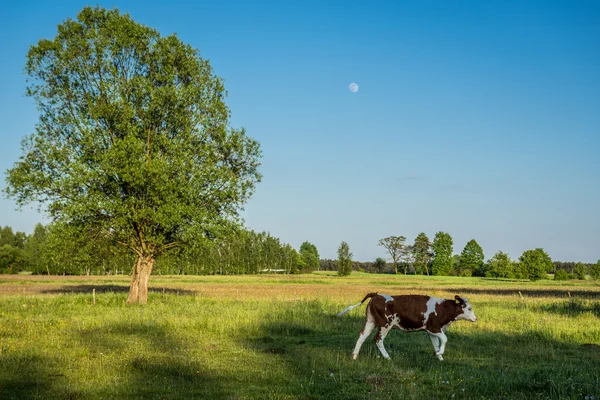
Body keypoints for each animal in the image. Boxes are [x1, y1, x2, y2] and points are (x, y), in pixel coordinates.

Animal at [338, 292, 478, 360]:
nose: (476, 318)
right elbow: (444, 339)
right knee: (378, 339)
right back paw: (388, 358)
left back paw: (354, 356)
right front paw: (439, 354)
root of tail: (376, 295)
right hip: (385, 324)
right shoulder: (433, 327)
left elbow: (436, 343)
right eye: (469, 308)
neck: (443, 309)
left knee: (362, 336)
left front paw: (439, 357)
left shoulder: (431, 331)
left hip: (371, 322)